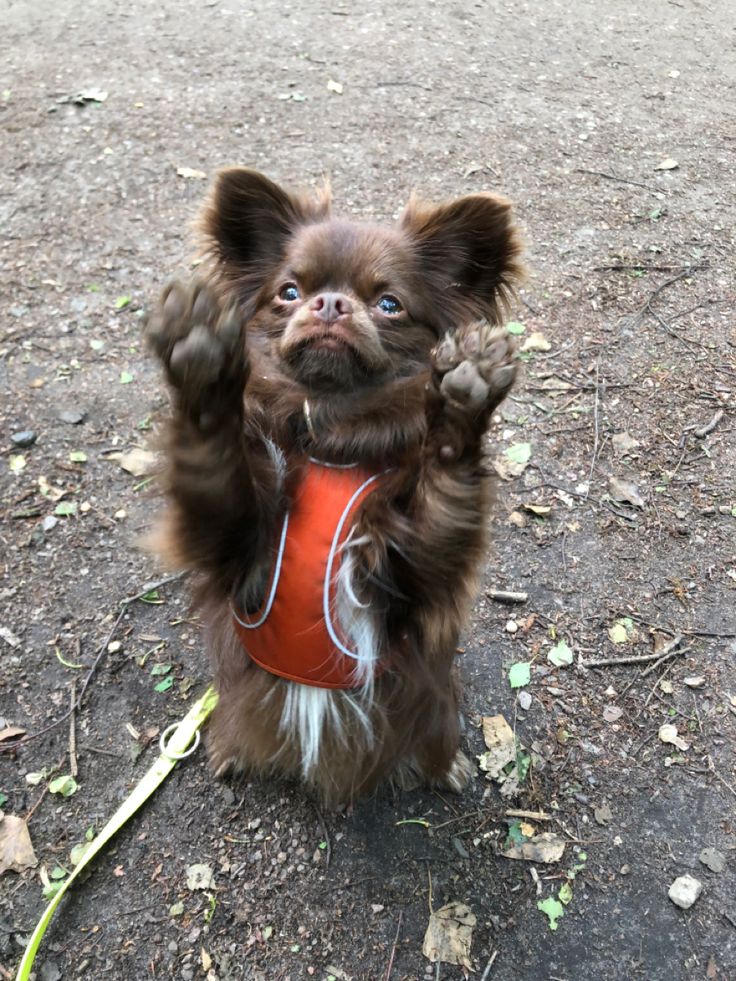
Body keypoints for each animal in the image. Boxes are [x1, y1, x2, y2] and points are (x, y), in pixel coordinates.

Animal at [147, 170, 520, 804]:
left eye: (389, 304)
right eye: (289, 292)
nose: (329, 302)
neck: (330, 438)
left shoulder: (408, 577)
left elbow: (445, 492)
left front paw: (463, 396)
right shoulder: (233, 543)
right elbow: (212, 458)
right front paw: (201, 359)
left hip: (436, 711)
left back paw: (445, 766)